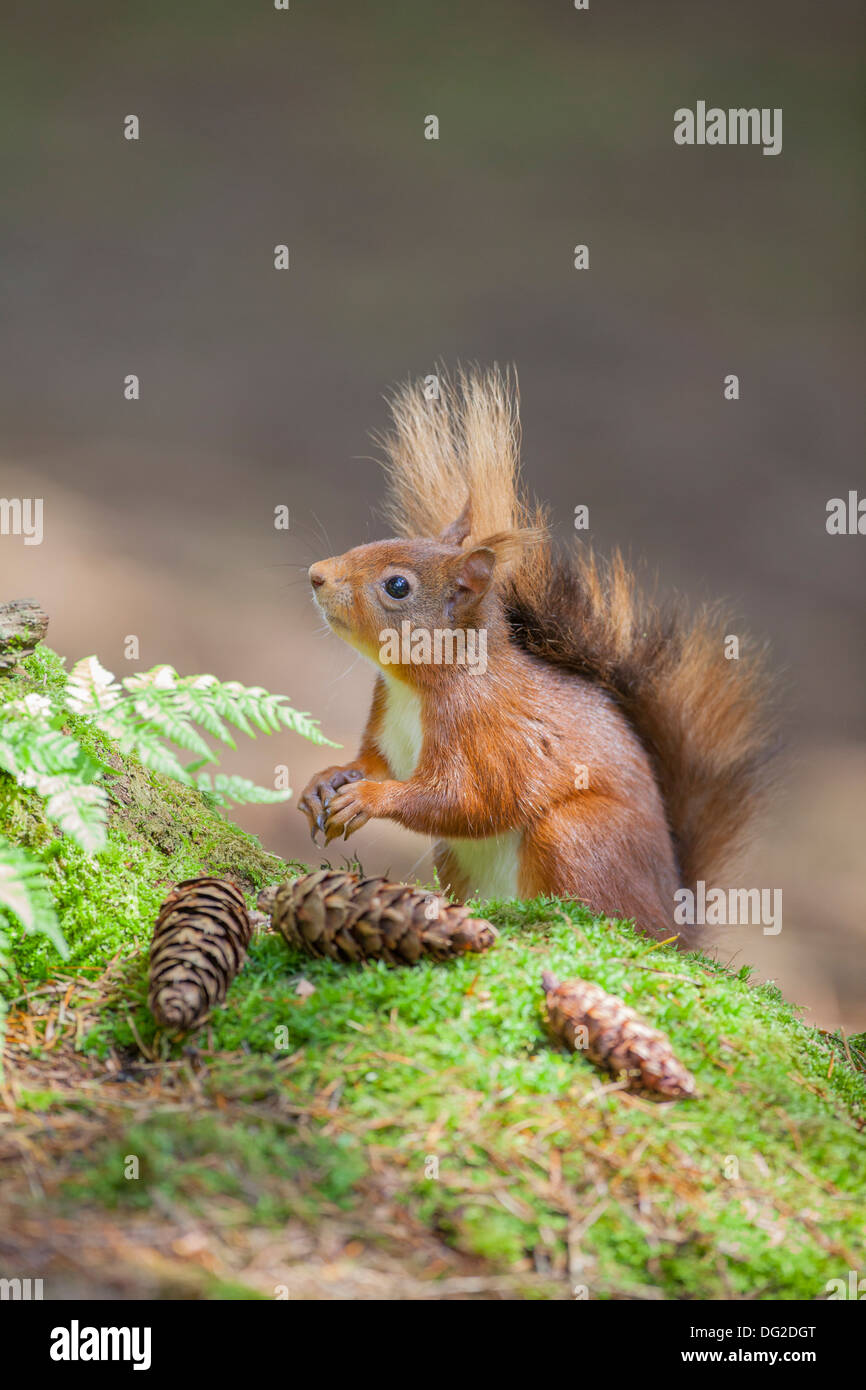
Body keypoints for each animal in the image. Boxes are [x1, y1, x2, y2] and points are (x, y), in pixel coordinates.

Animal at [300, 366, 772, 945]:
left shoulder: (487, 731)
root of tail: (673, 920)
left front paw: (368, 798)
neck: (420, 685)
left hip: (574, 835)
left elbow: (469, 800)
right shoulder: (385, 722)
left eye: (397, 586)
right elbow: (373, 763)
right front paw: (327, 781)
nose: (317, 574)